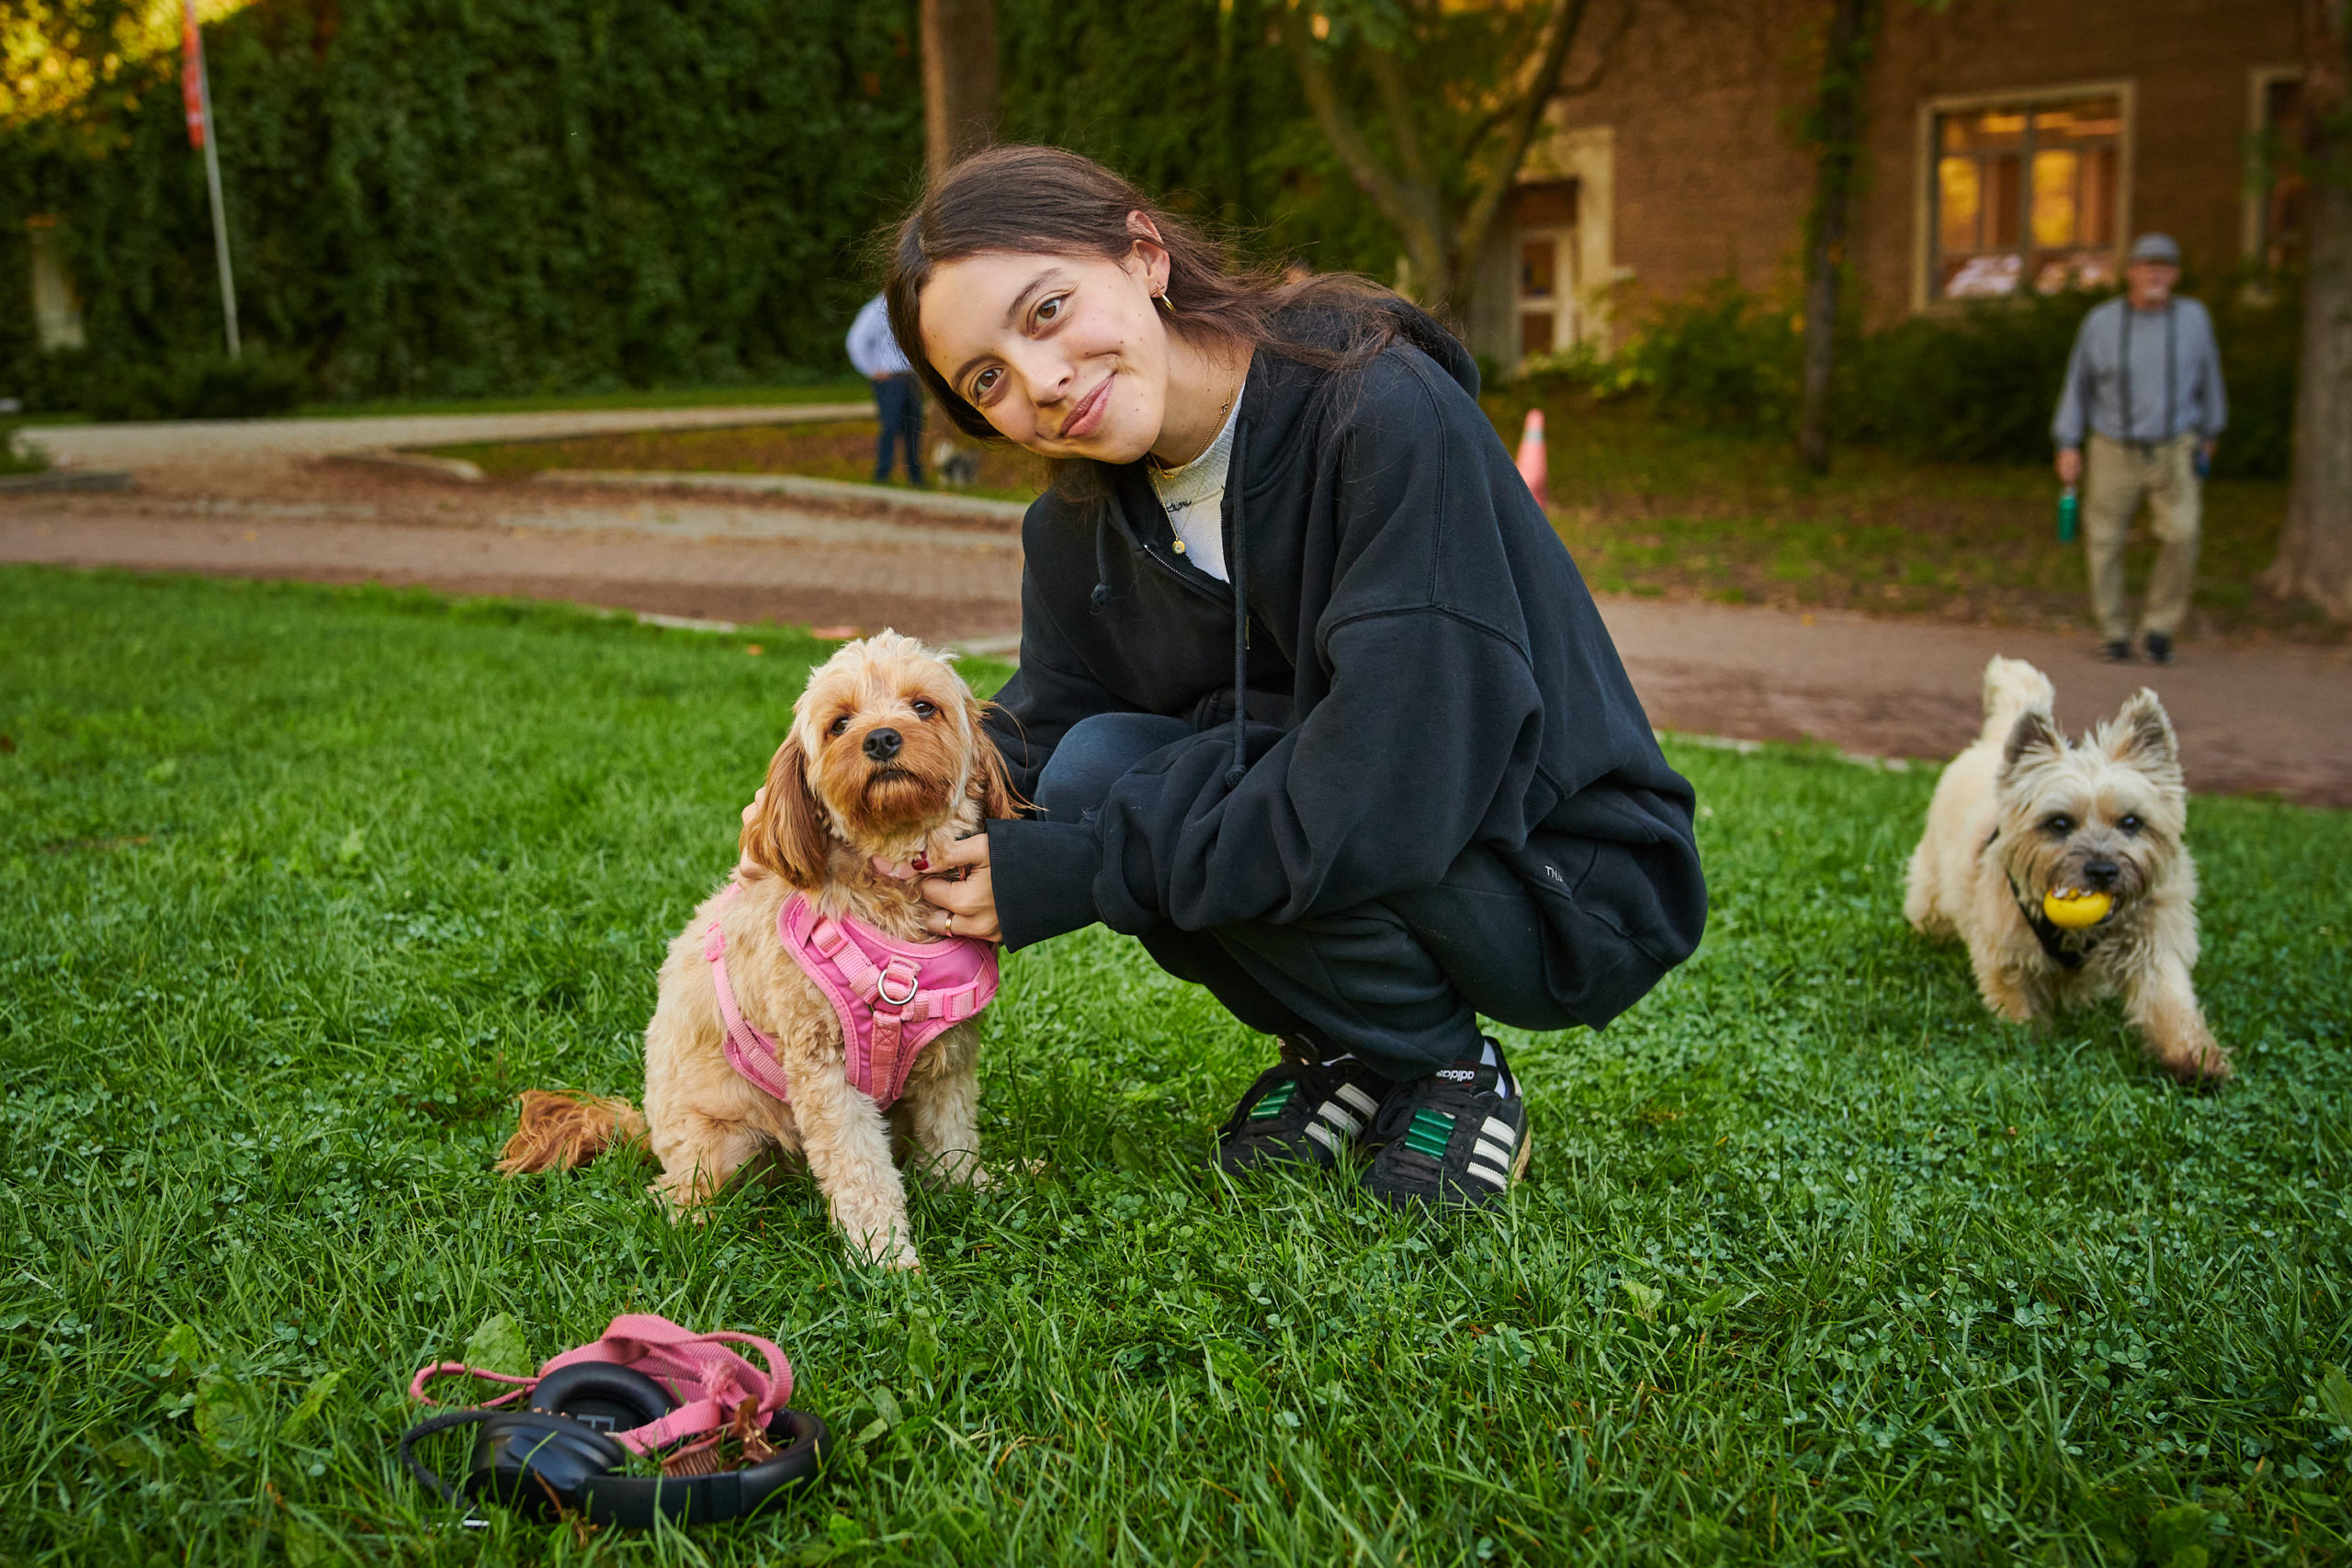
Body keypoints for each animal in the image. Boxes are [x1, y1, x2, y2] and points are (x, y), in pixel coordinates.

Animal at [505, 629, 1021, 1269]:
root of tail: (647, 1128)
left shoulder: (949, 1059)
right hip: (722, 1143)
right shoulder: (824, 1071)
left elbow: (953, 1138)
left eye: (924, 707)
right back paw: (696, 1226)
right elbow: (861, 1171)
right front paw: (886, 1259)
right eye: (840, 723)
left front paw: (972, 1193)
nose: (881, 738)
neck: (891, 886)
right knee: (672, 1193)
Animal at [1909, 658, 2220, 1086]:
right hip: (1933, 889)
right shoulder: (2005, 948)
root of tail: (1996, 740)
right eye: (2059, 823)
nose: (2103, 870)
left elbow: (2168, 999)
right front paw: (2028, 1041)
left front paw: (2193, 1058)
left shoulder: (2153, 941)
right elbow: (2015, 1001)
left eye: (2131, 822)